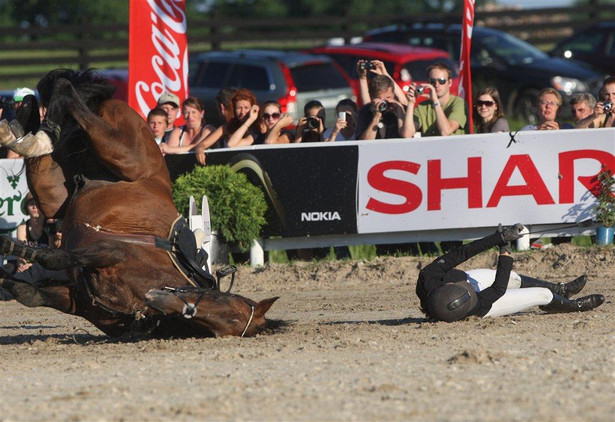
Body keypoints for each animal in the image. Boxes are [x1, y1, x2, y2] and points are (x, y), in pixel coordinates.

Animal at [0, 70, 280, 340]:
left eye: (223, 325)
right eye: (229, 309)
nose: (159, 298)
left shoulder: (77, 298)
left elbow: (29, 292)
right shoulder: (110, 250)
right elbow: (56, 258)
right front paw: (10, 246)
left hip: (52, 190)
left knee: (45, 130)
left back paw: (22, 129)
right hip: (116, 147)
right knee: (66, 90)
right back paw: (28, 128)